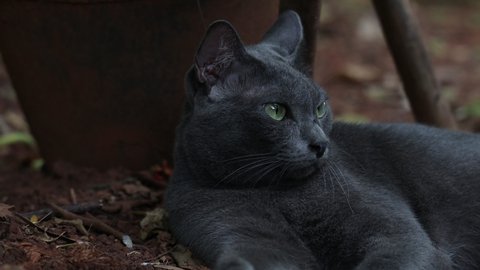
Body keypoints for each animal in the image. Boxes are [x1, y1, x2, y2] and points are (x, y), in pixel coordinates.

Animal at [165, 11, 480, 270]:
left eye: (320, 107)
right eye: (275, 111)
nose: (320, 144)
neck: (273, 191)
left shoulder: (398, 234)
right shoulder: (239, 230)